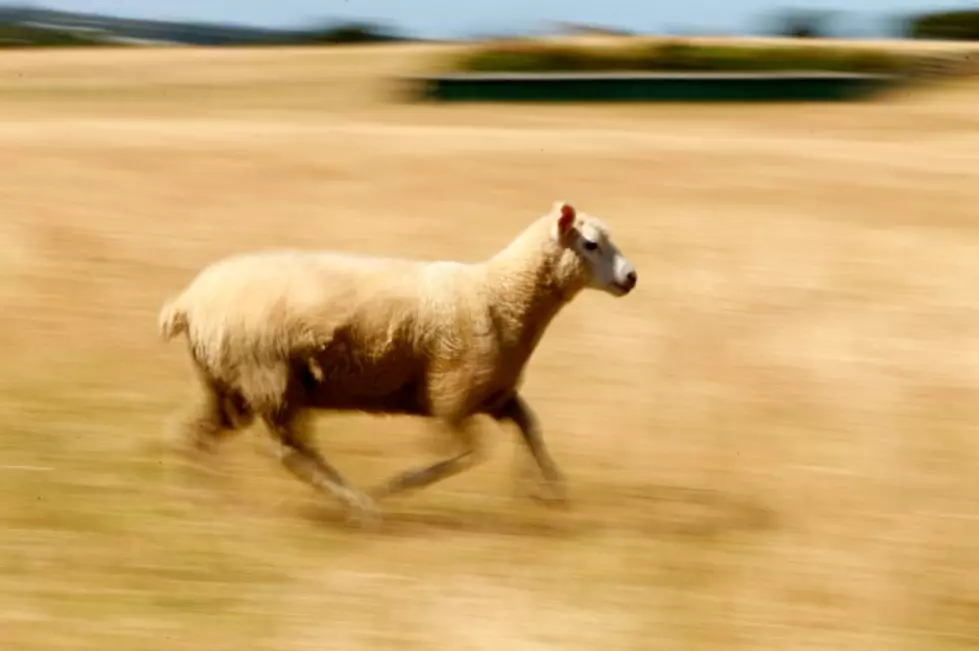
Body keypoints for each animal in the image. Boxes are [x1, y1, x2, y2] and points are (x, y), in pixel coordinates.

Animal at [157, 200, 640, 524]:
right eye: (591, 244)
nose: (631, 277)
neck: (499, 297)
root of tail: (188, 302)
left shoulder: (493, 393)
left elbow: (531, 428)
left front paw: (550, 491)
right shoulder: (451, 397)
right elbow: (470, 453)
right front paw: (397, 485)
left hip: (229, 383)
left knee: (195, 434)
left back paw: (200, 499)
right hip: (269, 378)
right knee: (291, 454)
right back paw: (360, 504)